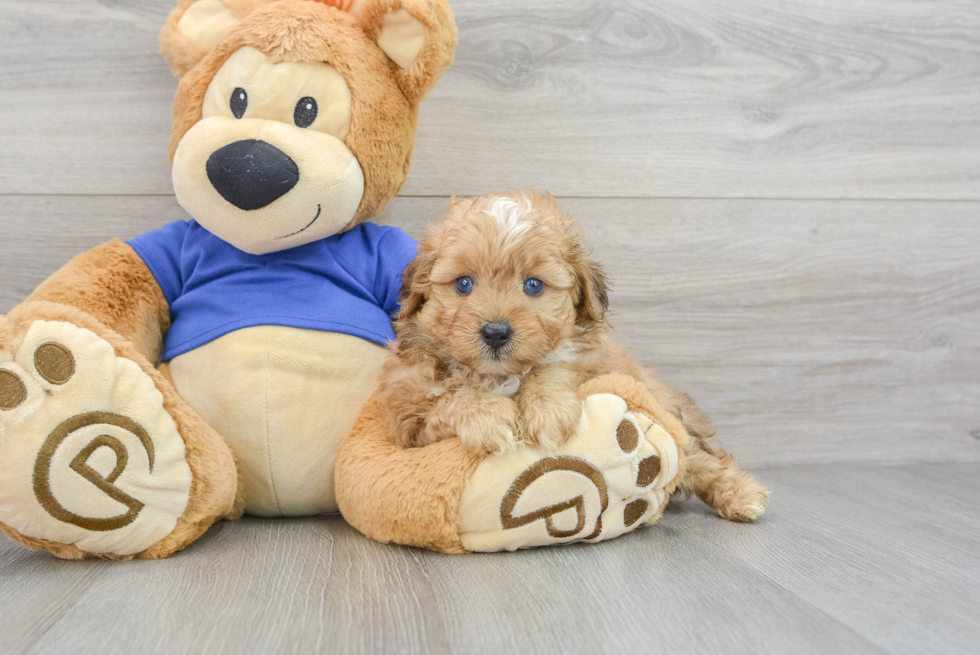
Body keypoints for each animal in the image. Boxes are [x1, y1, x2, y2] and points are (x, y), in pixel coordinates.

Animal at [378, 191, 768, 524]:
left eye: (533, 285)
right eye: (463, 284)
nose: (496, 332)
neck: (499, 375)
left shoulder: (592, 361)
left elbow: (555, 364)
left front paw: (547, 412)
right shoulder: (408, 418)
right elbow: (447, 400)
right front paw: (488, 416)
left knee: (699, 461)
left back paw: (741, 494)